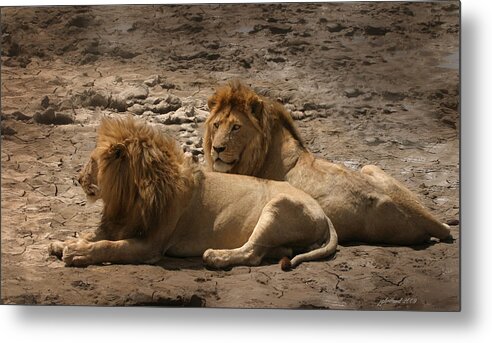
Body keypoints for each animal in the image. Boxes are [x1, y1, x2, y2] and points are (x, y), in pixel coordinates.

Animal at [49, 117, 338, 270]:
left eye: (92, 162)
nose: (77, 179)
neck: (129, 197)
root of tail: (325, 214)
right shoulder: (120, 222)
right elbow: (92, 235)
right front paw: (64, 243)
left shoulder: (150, 245)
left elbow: (109, 246)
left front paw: (77, 253)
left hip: (278, 206)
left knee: (252, 252)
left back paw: (216, 256)